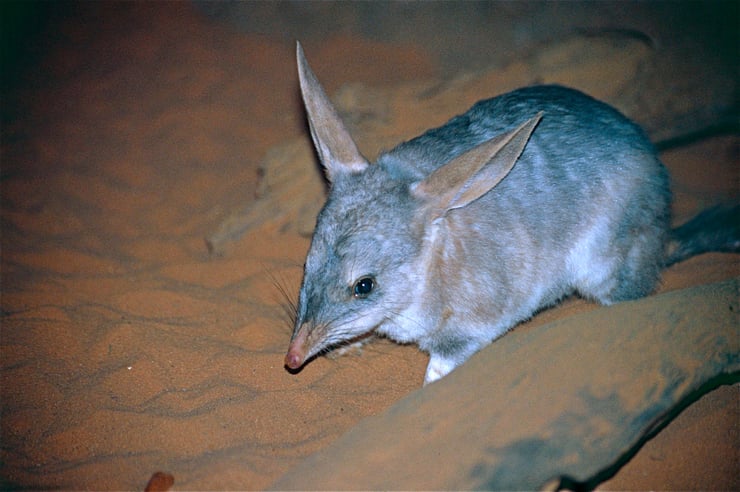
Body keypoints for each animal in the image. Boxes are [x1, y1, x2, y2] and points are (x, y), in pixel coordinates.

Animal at [284, 42, 739, 385]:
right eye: (306, 263)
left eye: (365, 286)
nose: (292, 359)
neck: (432, 264)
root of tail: (664, 236)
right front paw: (351, 344)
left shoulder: (474, 322)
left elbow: (442, 364)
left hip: (603, 265)